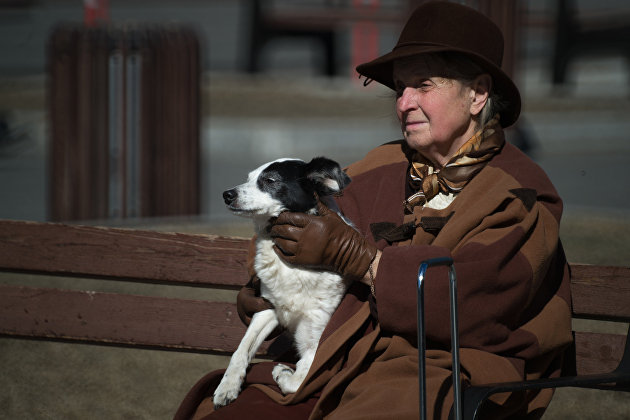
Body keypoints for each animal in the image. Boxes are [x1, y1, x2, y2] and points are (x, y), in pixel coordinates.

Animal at [216, 157, 356, 406]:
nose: (226, 194)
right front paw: (227, 386)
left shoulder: (316, 338)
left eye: (270, 180)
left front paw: (283, 373)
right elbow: (241, 350)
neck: (293, 267)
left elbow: (299, 380)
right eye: (249, 177)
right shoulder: (267, 309)